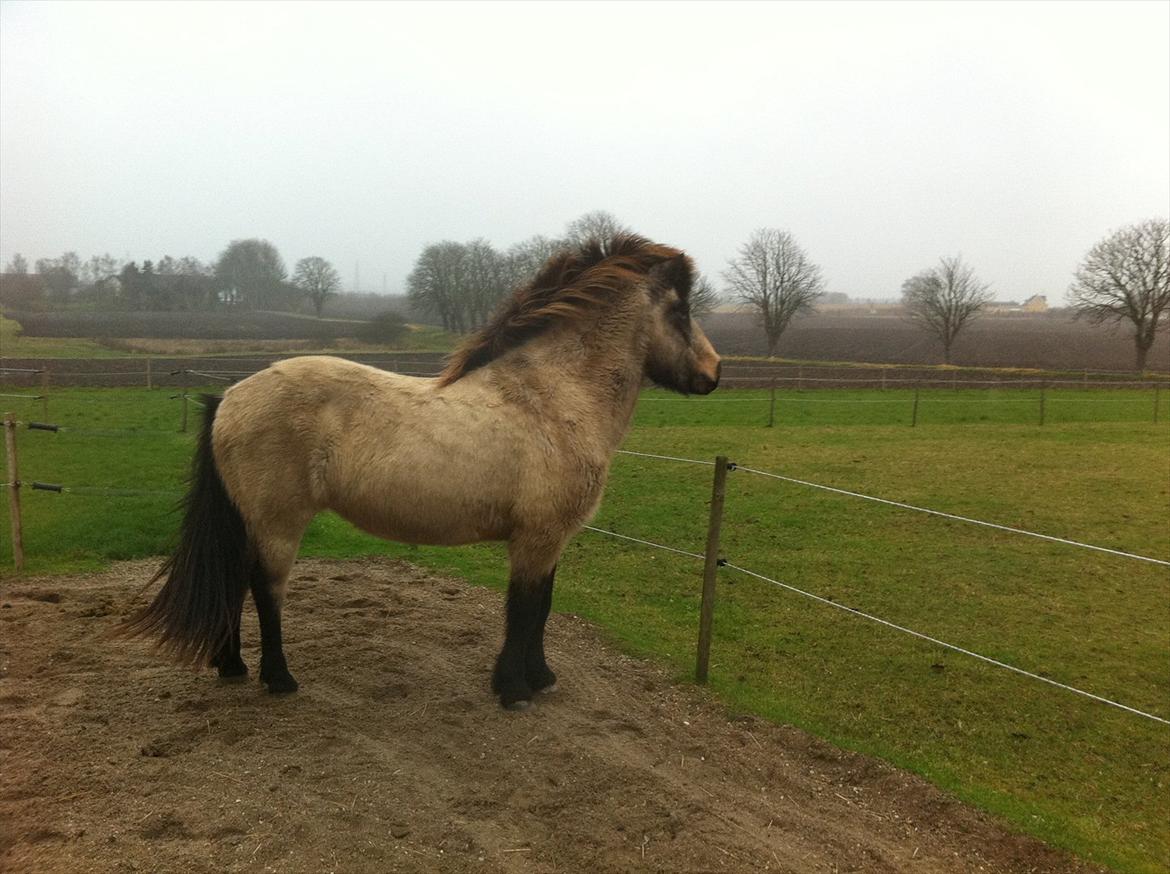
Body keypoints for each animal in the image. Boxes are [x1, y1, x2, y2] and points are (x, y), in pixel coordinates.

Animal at [121, 234, 720, 711]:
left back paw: (231, 666)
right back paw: (279, 678)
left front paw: (542, 677)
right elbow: (524, 609)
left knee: (233, 579)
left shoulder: (550, 540)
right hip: (278, 523)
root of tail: (229, 397)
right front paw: (514, 690)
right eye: (682, 310)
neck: (550, 398)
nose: (714, 373)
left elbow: (544, 607)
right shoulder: (536, 538)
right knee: (264, 589)